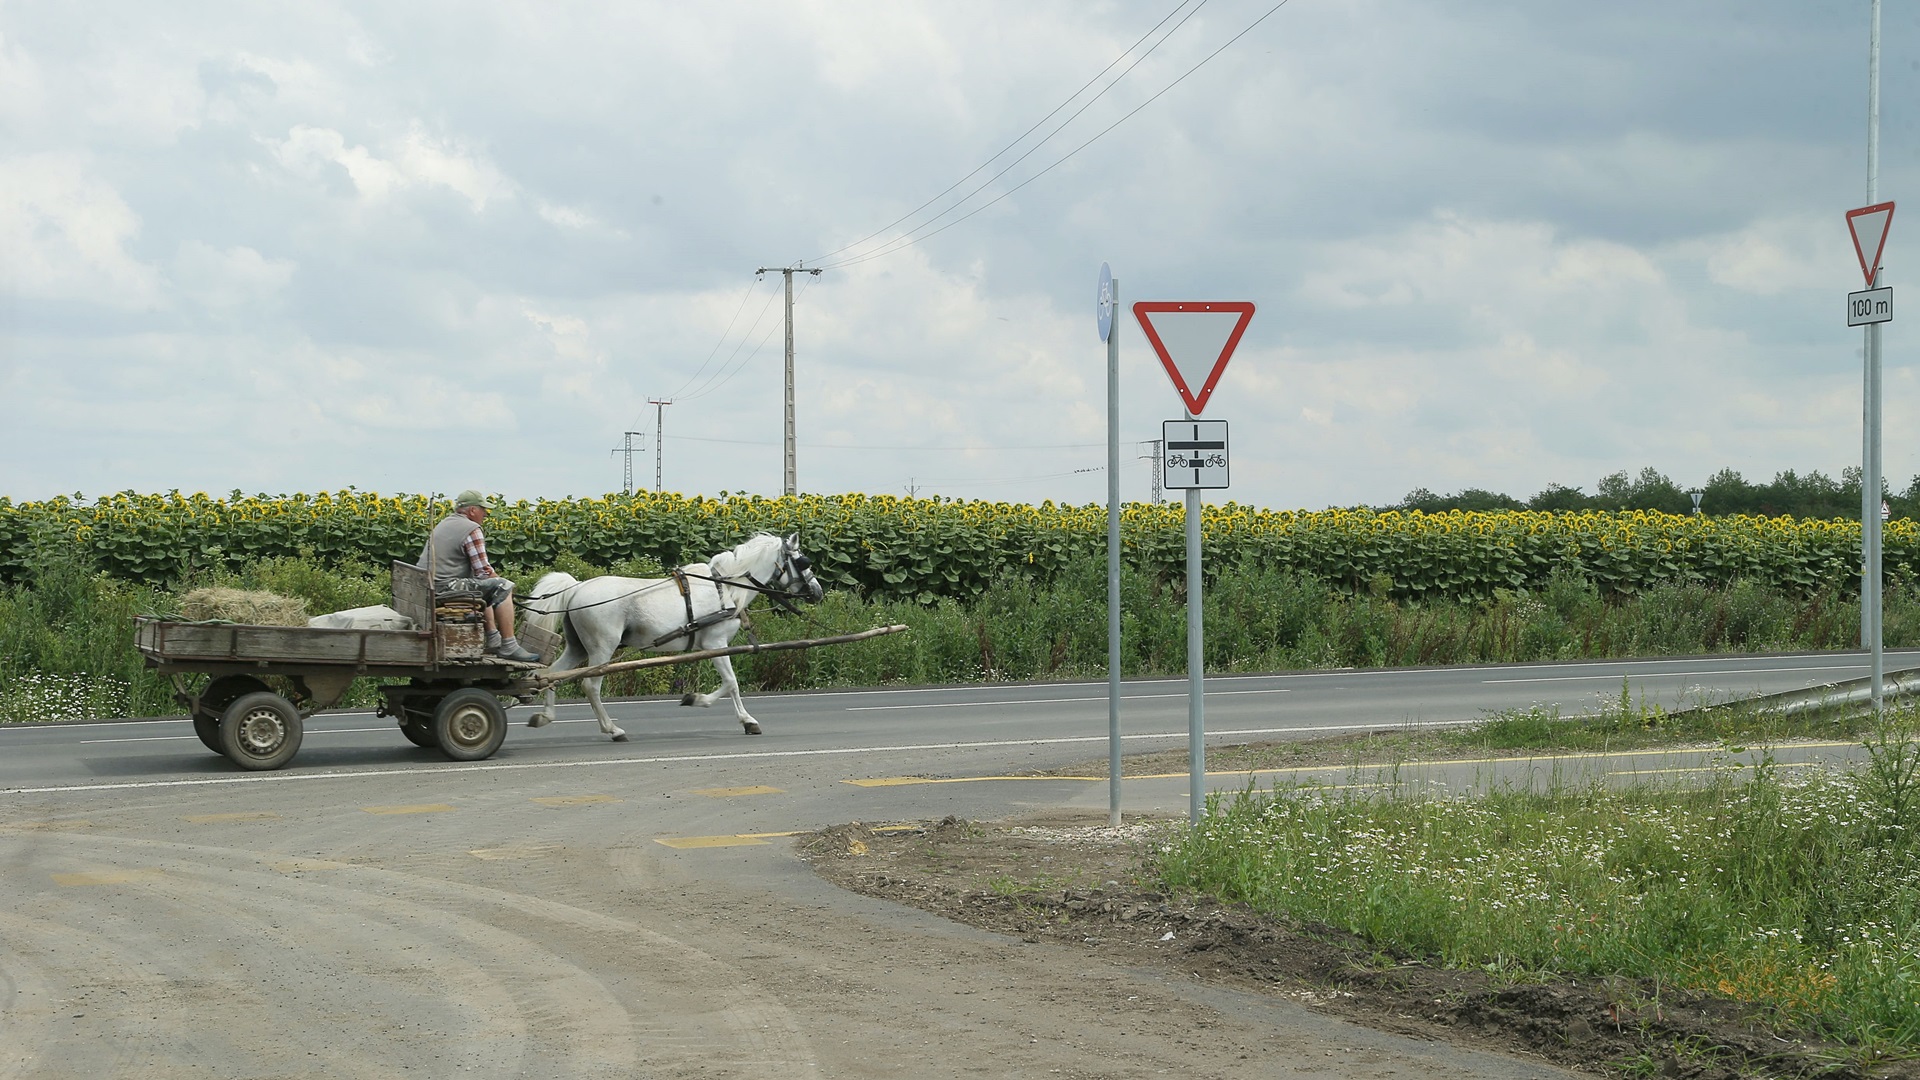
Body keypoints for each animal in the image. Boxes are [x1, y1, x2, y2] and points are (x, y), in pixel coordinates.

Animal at [522, 530, 821, 734]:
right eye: (803, 562)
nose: (817, 592)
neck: (725, 587)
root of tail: (576, 587)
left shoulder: (710, 647)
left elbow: (729, 683)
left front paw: (701, 701)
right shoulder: (715, 644)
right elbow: (732, 683)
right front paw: (742, 718)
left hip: (577, 647)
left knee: (550, 674)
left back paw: (544, 716)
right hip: (601, 648)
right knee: (590, 686)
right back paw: (612, 729)